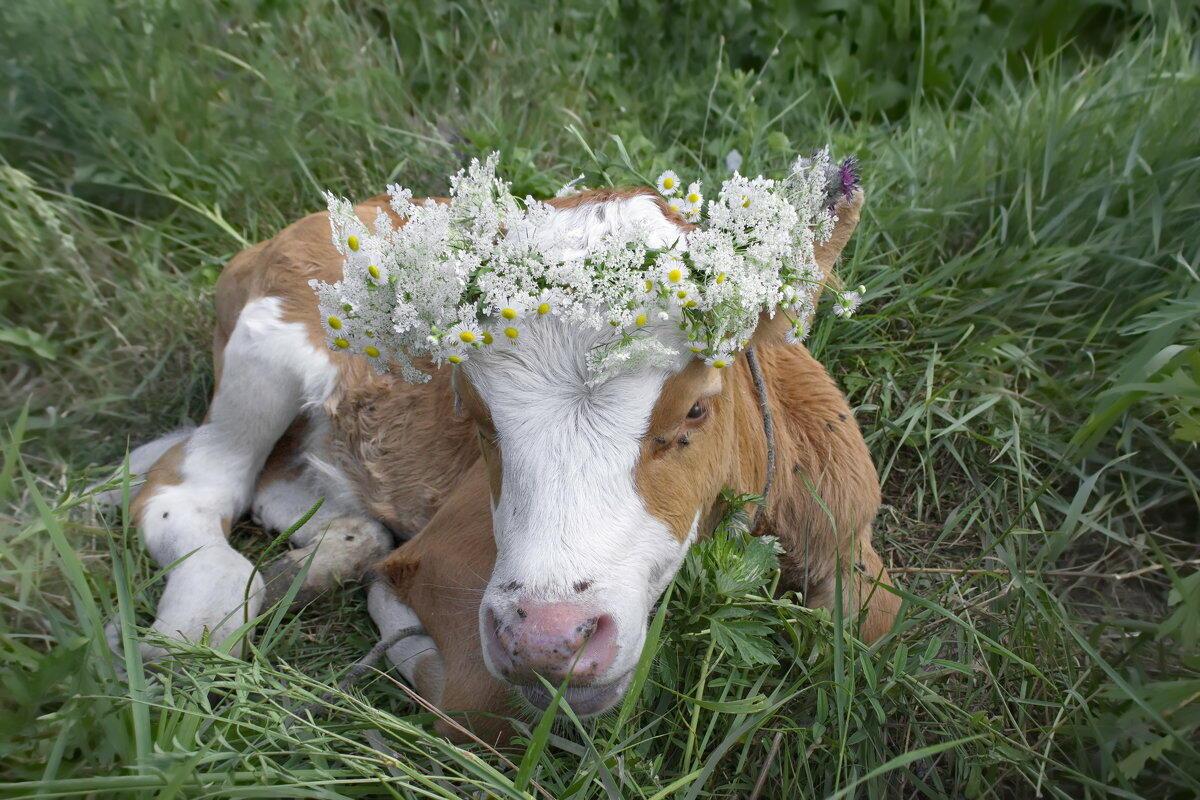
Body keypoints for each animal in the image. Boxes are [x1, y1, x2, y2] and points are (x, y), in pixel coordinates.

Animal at [112, 184, 897, 734]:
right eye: (477, 413)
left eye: (697, 410)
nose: (550, 640)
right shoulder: (448, 561)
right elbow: (476, 698)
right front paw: (391, 615)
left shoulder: (848, 530)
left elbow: (870, 626)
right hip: (265, 349)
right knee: (188, 486)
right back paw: (200, 621)